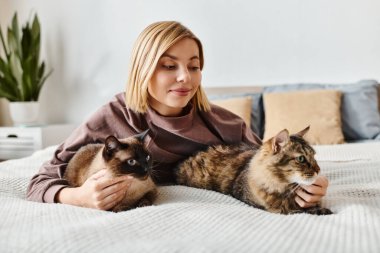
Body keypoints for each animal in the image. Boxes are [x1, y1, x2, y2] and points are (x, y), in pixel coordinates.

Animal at [175, 126, 332, 215]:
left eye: (314, 156)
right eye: (301, 159)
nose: (318, 170)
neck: (283, 188)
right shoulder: (270, 208)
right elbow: (294, 210)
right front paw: (322, 211)